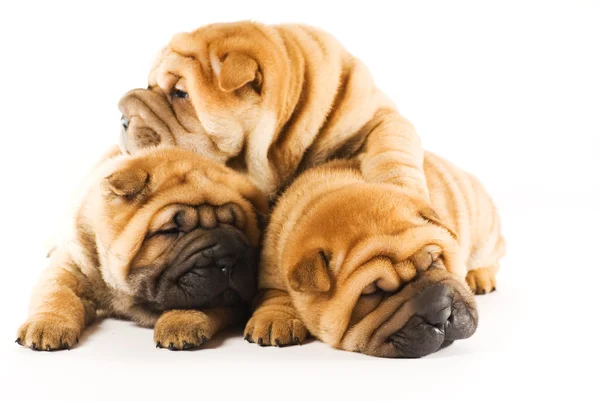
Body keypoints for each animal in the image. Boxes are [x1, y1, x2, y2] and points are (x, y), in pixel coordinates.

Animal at [15, 146, 268, 350]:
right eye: (171, 230)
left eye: (237, 226)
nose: (227, 258)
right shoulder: (72, 265)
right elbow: (56, 293)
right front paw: (47, 325)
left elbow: (206, 301)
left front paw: (181, 322)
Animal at [117, 20, 426, 202]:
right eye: (149, 83)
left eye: (180, 93)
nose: (122, 116)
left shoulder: (376, 116)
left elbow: (393, 146)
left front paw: (401, 188)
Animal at [245, 152, 506, 356]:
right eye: (372, 292)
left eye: (434, 261)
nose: (440, 313)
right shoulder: (272, 265)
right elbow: (275, 293)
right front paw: (274, 319)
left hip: (484, 229)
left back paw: (479, 276)